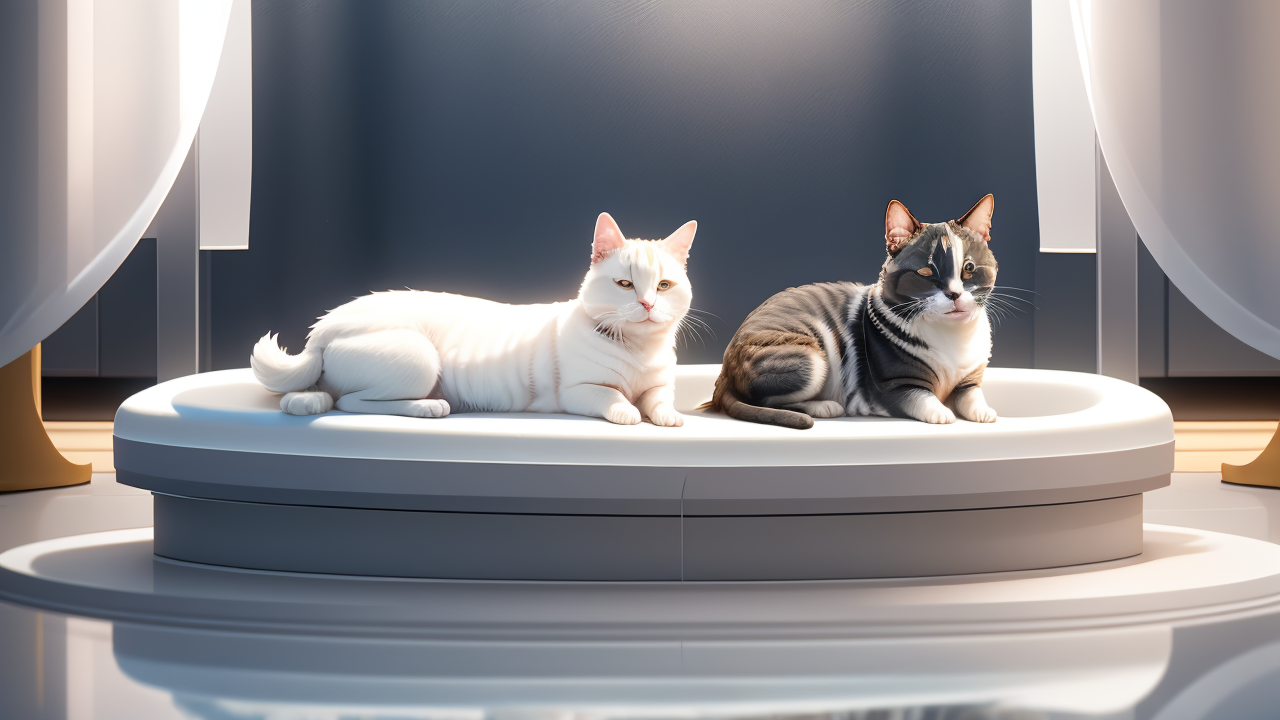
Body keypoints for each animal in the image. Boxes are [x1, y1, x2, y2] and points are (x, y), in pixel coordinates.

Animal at [250, 212, 701, 425]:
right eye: (625, 284)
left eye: (663, 286)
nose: (647, 305)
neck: (640, 350)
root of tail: (323, 327)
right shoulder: (578, 392)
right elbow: (614, 398)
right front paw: (629, 412)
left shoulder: (659, 385)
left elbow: (659, 400)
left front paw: (669, 416)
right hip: (420, 358)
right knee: (348, 401)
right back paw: (429, 407)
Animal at [711, 194, 998, 425]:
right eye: (926, 273)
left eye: (969, 269)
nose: (955, 294)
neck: (953, 336)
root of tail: (725, 371)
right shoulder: (895, 386)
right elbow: (921, 398)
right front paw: (941, 412)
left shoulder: (970, 379)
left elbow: (971, 395)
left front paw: (984, 411)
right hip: (811, 360)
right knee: (766, 401)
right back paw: (822, 406)